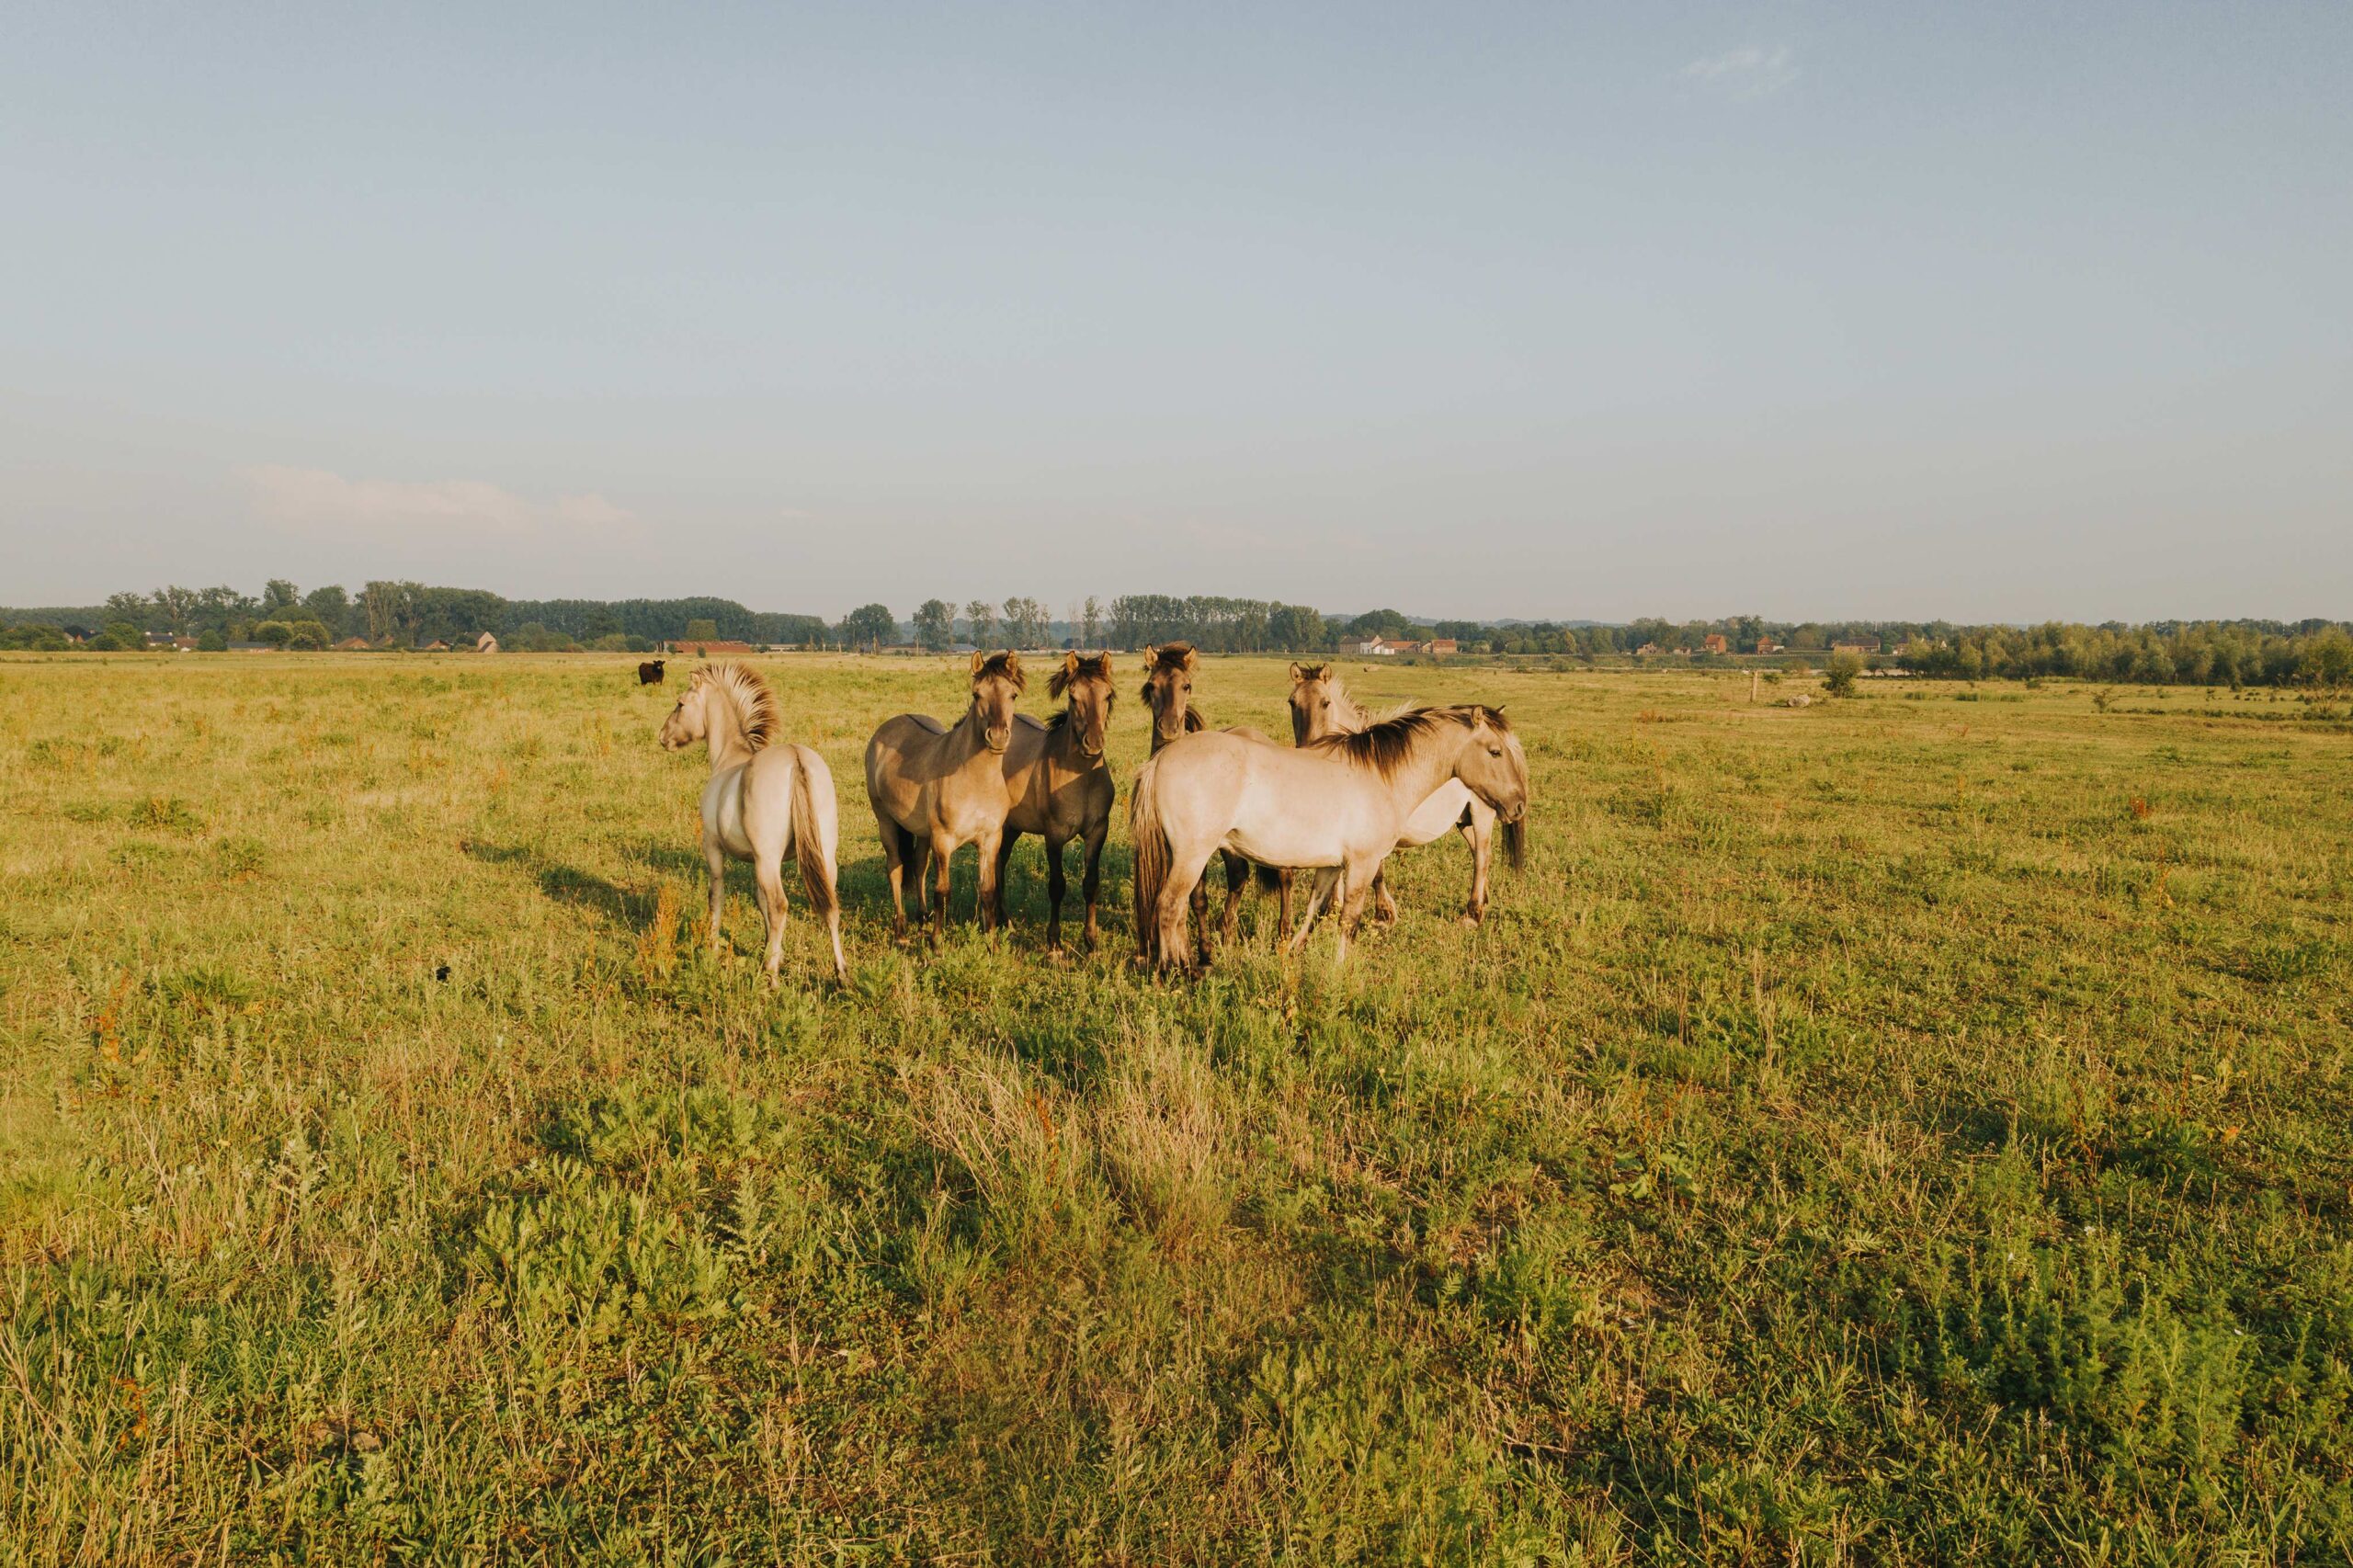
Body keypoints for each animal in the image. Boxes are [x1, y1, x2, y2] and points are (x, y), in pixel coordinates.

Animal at [658, 654, 851, 979]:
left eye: (680, 703)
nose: (662, 738)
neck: (728, 759)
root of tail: (795, 760)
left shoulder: (714, 848)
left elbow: (716, 896)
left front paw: (713, 948)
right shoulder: (760, 862)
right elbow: (760, 902)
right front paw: (770, 948)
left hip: (768, 860)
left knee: (780, 905)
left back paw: (770, 975)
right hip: (823, 856)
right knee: (830, 906)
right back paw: (841, 974)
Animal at [856, 649, 1021, 941]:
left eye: (1012, 694)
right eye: (977, 695)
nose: (998, 737)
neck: (974, 780)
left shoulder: (990, 840)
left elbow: (988, 892)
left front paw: (991, 943)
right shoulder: (943, 841)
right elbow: (942, 892)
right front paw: (937, 943)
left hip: (922, 833)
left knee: (919, 865)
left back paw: (922, 916)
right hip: (886, 820)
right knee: (895, 868)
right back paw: (901, 930)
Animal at [1133, 697, 1534, 965]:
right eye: (1495, 752)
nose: (1518, 805)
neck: (1379, 774)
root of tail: (1160, 760)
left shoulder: (1330, 865)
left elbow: (1313, 909)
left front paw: (1292, 952)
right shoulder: (1362, 864)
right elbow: (1349, 920)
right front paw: (1340, 969)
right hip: (1192, 855)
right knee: (1169, 907)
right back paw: (1179, 971)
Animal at [1289, 654, 1524, 923]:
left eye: (1325, 703)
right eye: (1292, 703)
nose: (1307, 747)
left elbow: (1376, 874)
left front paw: (1384, 913)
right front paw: (1332, 909)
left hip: (1482, 813)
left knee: (1482, 857)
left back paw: (1473, 911)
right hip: (1464, 820)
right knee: (1479, 853)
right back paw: (1483, 900)